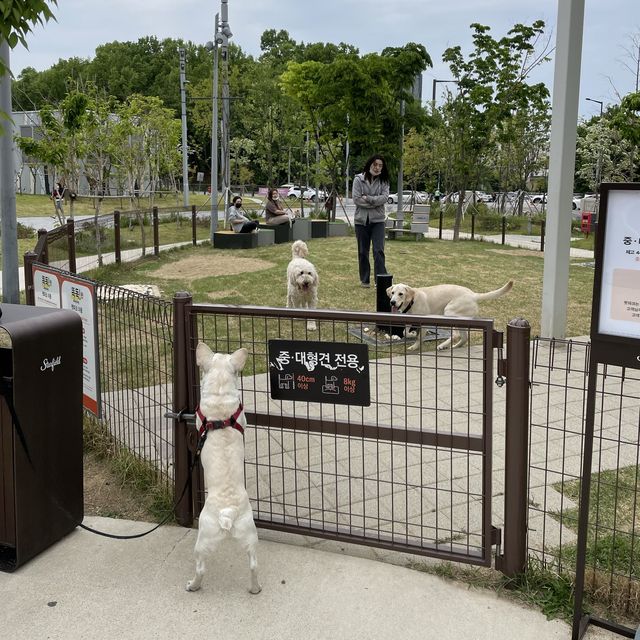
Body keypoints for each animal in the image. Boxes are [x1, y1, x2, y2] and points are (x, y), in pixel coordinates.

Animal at [186, 344, 262, 596]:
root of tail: (227, 513)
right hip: (249, 533)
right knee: (253, 564)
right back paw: (255, 589)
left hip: (204, 536)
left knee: (200, 568)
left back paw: (193, 586)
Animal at [384, 280, 516, 350]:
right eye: (392, 292)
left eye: (401, 294)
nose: (392, 302)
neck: (412, 301)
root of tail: (473, 295)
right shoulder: (408, 320)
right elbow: (405, 332)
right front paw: (411, 335)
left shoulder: (424, 323)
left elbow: (419, 337)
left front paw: (414, 346)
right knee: (464, 337)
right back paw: (454, 346)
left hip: (449, 311)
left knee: (456, 335)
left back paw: (442, 345)